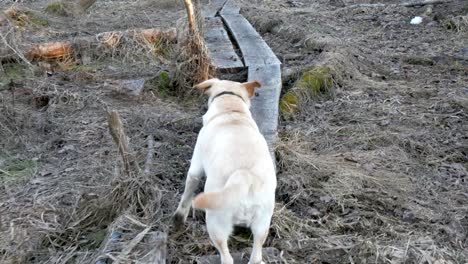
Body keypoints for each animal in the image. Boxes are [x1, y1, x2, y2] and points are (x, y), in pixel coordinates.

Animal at [176, 78, 278, 264]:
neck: (231, 110)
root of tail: (245, 176)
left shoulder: (195, 169)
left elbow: (187, 194)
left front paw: (179, 218)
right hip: (262, 224)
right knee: (256, 256)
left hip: (215, 223)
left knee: (227, 257)